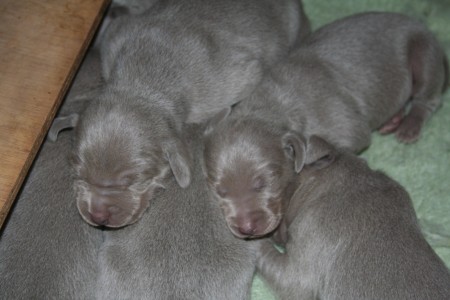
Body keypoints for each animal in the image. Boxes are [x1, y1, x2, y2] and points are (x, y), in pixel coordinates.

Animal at [203, 12, 446, 239]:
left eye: (263, 183)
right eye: (219, 190)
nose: (246, 228)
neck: (269, 106)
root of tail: (419, 25)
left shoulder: (346, 129)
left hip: (424, 52)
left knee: (427, 98)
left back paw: (408, 127)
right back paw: (392, 121)